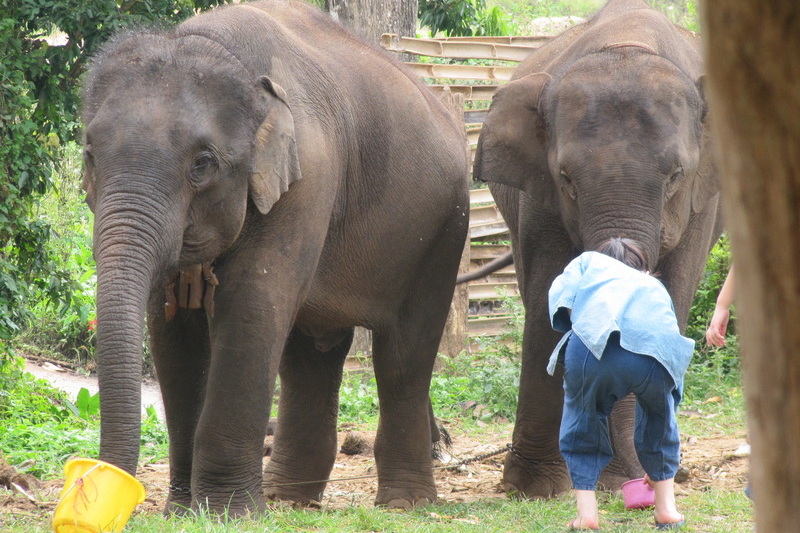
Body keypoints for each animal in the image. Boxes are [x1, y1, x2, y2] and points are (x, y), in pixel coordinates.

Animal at [80, 0, 469, 516]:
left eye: (202, 163)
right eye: (90, 154)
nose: (99, 487)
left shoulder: (308, 178)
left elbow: (251, 306)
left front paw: (227, 512)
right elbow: (170, 327)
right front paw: (183, 511)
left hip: (443, 233)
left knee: (403, 356)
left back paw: (405, 504)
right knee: (311, 358)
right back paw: (289, 498)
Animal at [473, 0, 722, 498]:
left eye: (675, 175)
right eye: (567, 177)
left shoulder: (699, 202)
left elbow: (672, 297)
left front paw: (624, 476)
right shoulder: (541, 195)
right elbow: (546, 303)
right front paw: (536, 488)